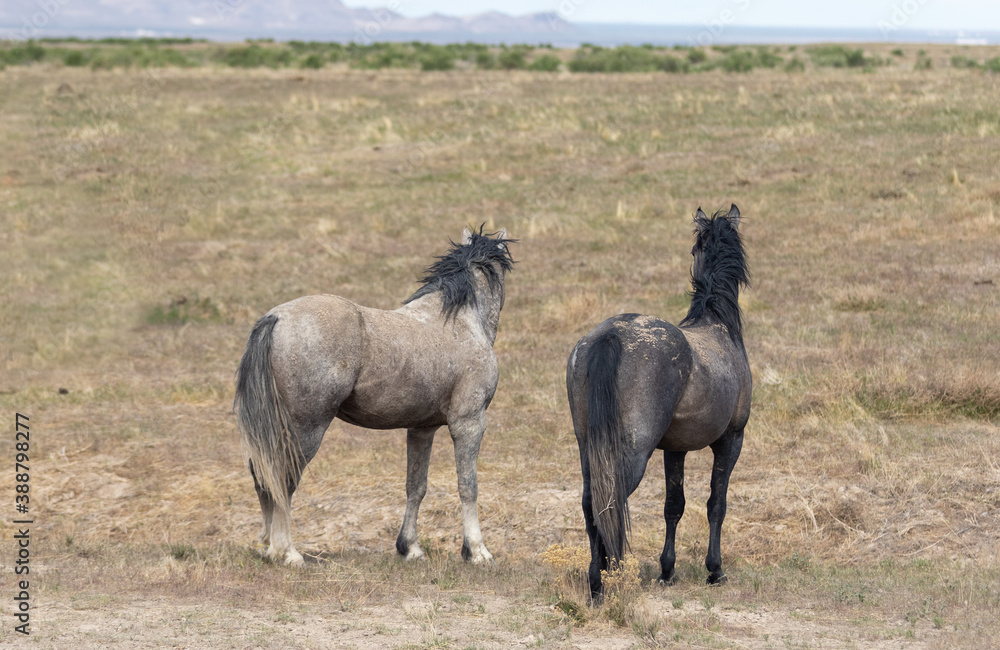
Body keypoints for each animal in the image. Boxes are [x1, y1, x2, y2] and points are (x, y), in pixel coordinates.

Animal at [235, 227, 516, 560]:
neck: (461, 322)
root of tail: (276, 318)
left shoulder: (422, 429)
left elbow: (416, 486)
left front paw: (410, 547)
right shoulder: (469, 424)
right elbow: (468, 485)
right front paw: (476, 549)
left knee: (263, 476)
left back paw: (268, 546)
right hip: (305, 430)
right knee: (283, 478)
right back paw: (286, 551)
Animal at [572, 205, 752, 596]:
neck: (718, 327)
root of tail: (611, 334)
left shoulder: (675, 448)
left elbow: (674, 505)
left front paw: (667, 570)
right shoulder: (731, 440)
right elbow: (716, 504)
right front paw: (715, 570)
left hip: (587, 446)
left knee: (591, 502)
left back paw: (598, 579)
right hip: (633, 451)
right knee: (612, 500)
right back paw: (607, 579)